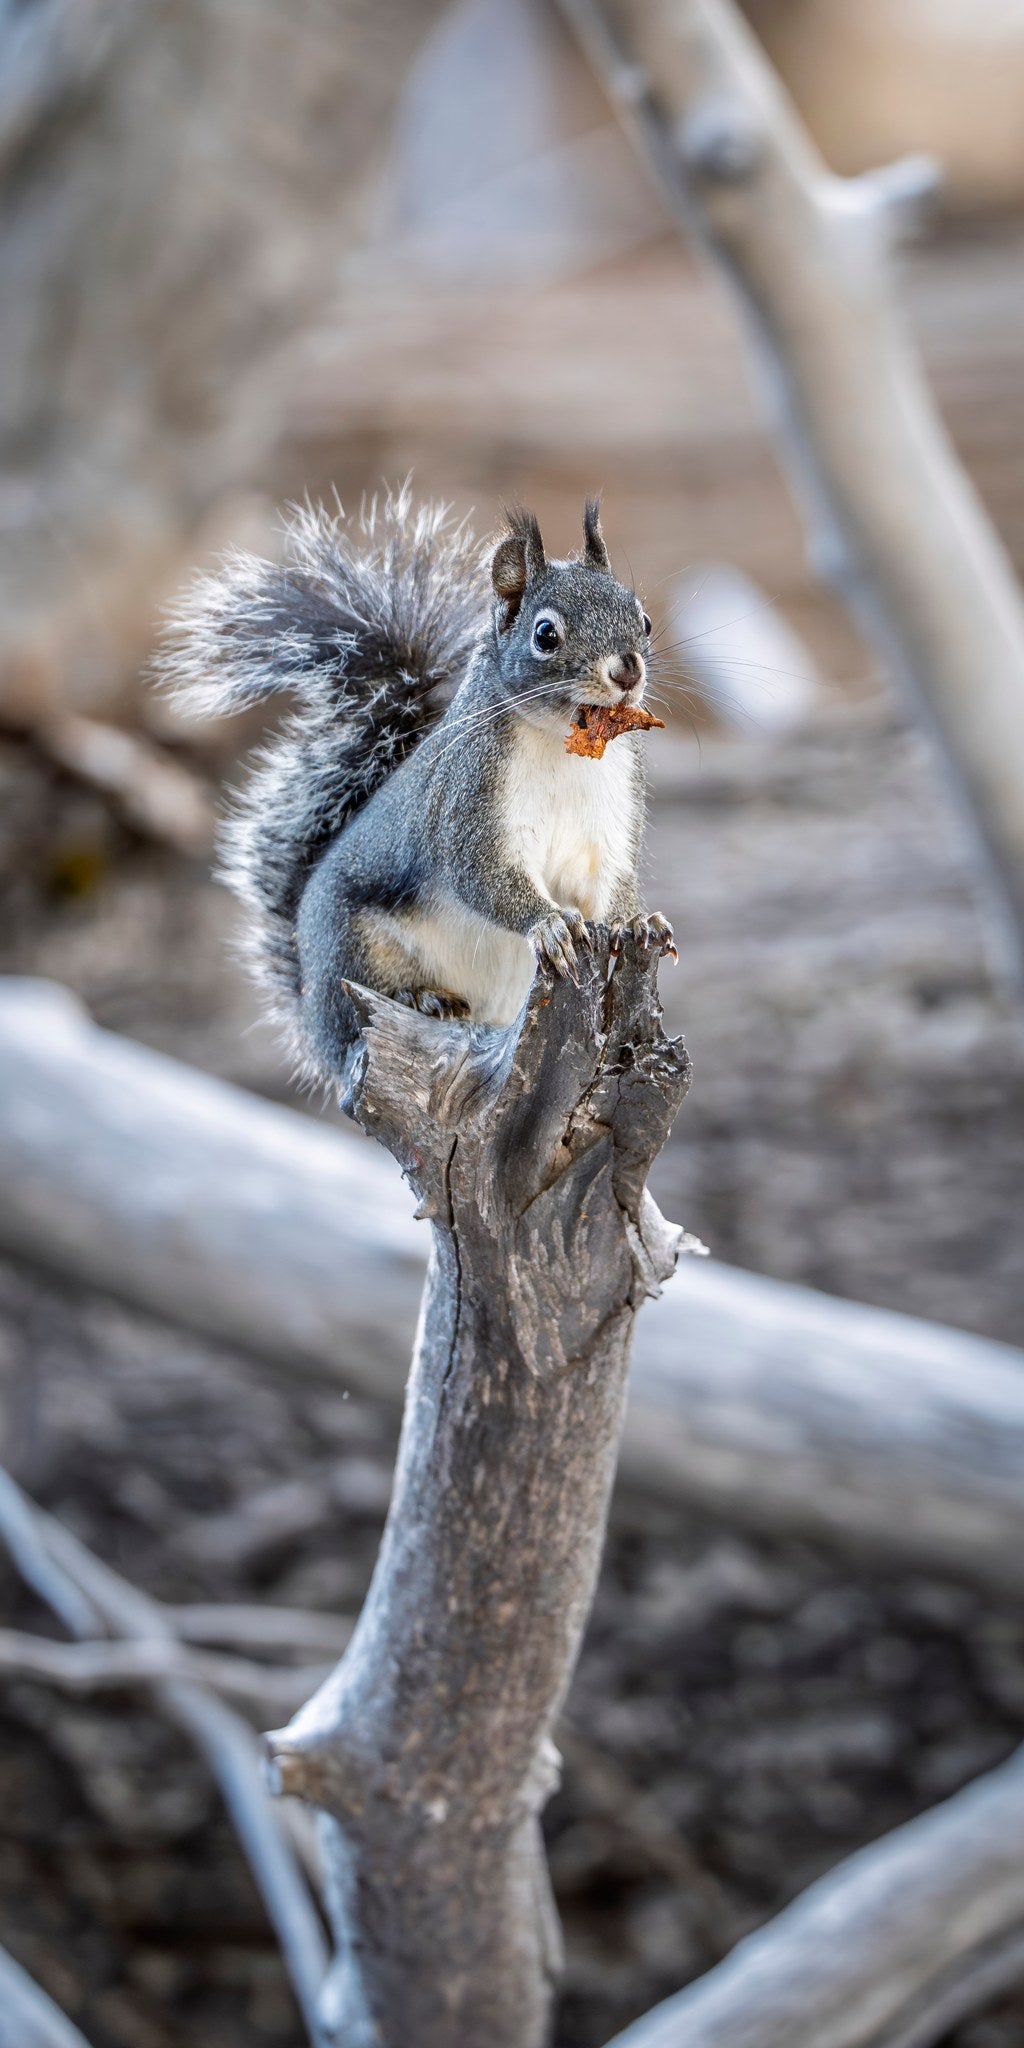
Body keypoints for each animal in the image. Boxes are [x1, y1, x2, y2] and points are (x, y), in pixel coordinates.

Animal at [160, 485, 675, 1093]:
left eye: (644, 619)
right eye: (546, 634)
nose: (628, 671)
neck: (566, 746)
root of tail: (309, 1014)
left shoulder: (611, 821)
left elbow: (611, 883)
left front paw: (637, 922)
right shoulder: (467, 800)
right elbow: (482, 875)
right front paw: (548, 924)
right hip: (351, 952)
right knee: (357, 1013)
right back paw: (421, 998)